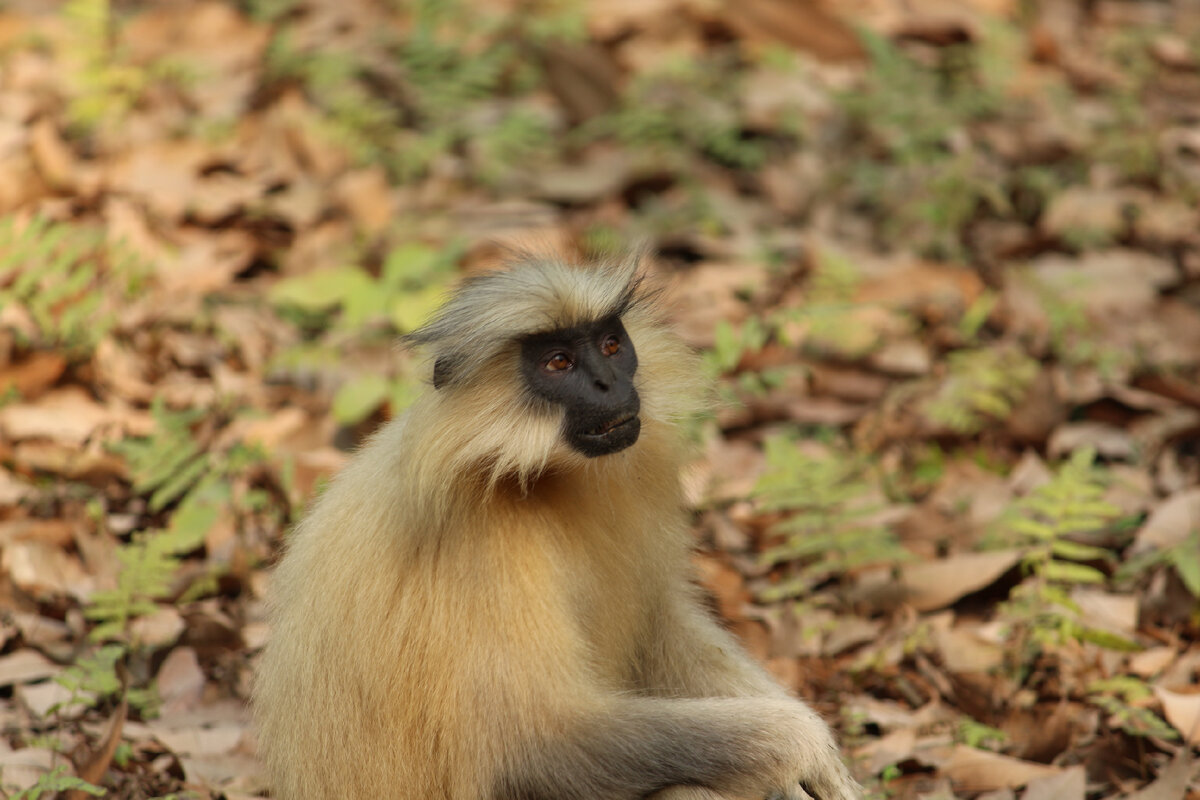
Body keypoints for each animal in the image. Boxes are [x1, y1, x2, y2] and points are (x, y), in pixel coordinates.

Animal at [250, 251, 864, 800]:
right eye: (559, 364)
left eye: (611, 346)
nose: (609, 384)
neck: (536, 476)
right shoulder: (481, 537)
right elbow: (530, 750)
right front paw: (800, 744)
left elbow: (659, 626)